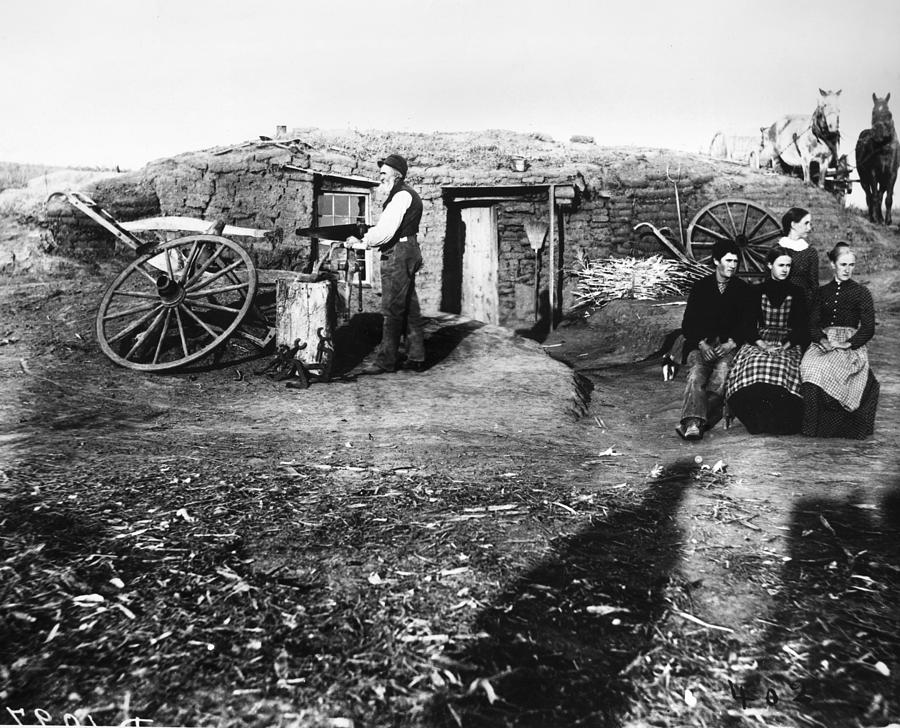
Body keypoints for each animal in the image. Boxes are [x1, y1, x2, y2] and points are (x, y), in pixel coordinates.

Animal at [856, 94, 900, 225]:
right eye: (873, 113)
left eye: (889, 114)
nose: (878, 135)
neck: (883, 148)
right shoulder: (873, 173)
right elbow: (874, 196)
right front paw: (875, 218)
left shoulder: (892, 175)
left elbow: (887, 198)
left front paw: (887, 220)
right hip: (863, 179)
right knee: (869, 196)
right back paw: (872, 216)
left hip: (883, 180)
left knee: (880, 196)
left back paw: (880, 217)